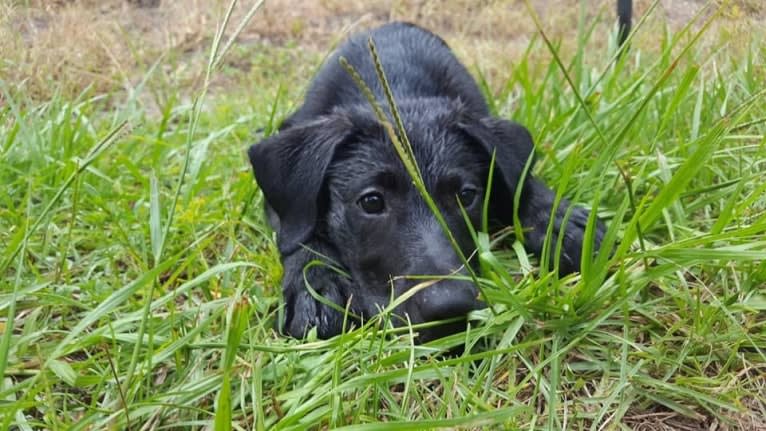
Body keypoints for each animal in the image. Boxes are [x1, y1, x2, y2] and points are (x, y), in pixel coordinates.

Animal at [249, 22, 604, 340]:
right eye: (371, 201)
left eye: (466, 195)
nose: (450, 308)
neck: (395, 88)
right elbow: (299, 232)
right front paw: (318, 283)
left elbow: (517, 180)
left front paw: (559, 219)